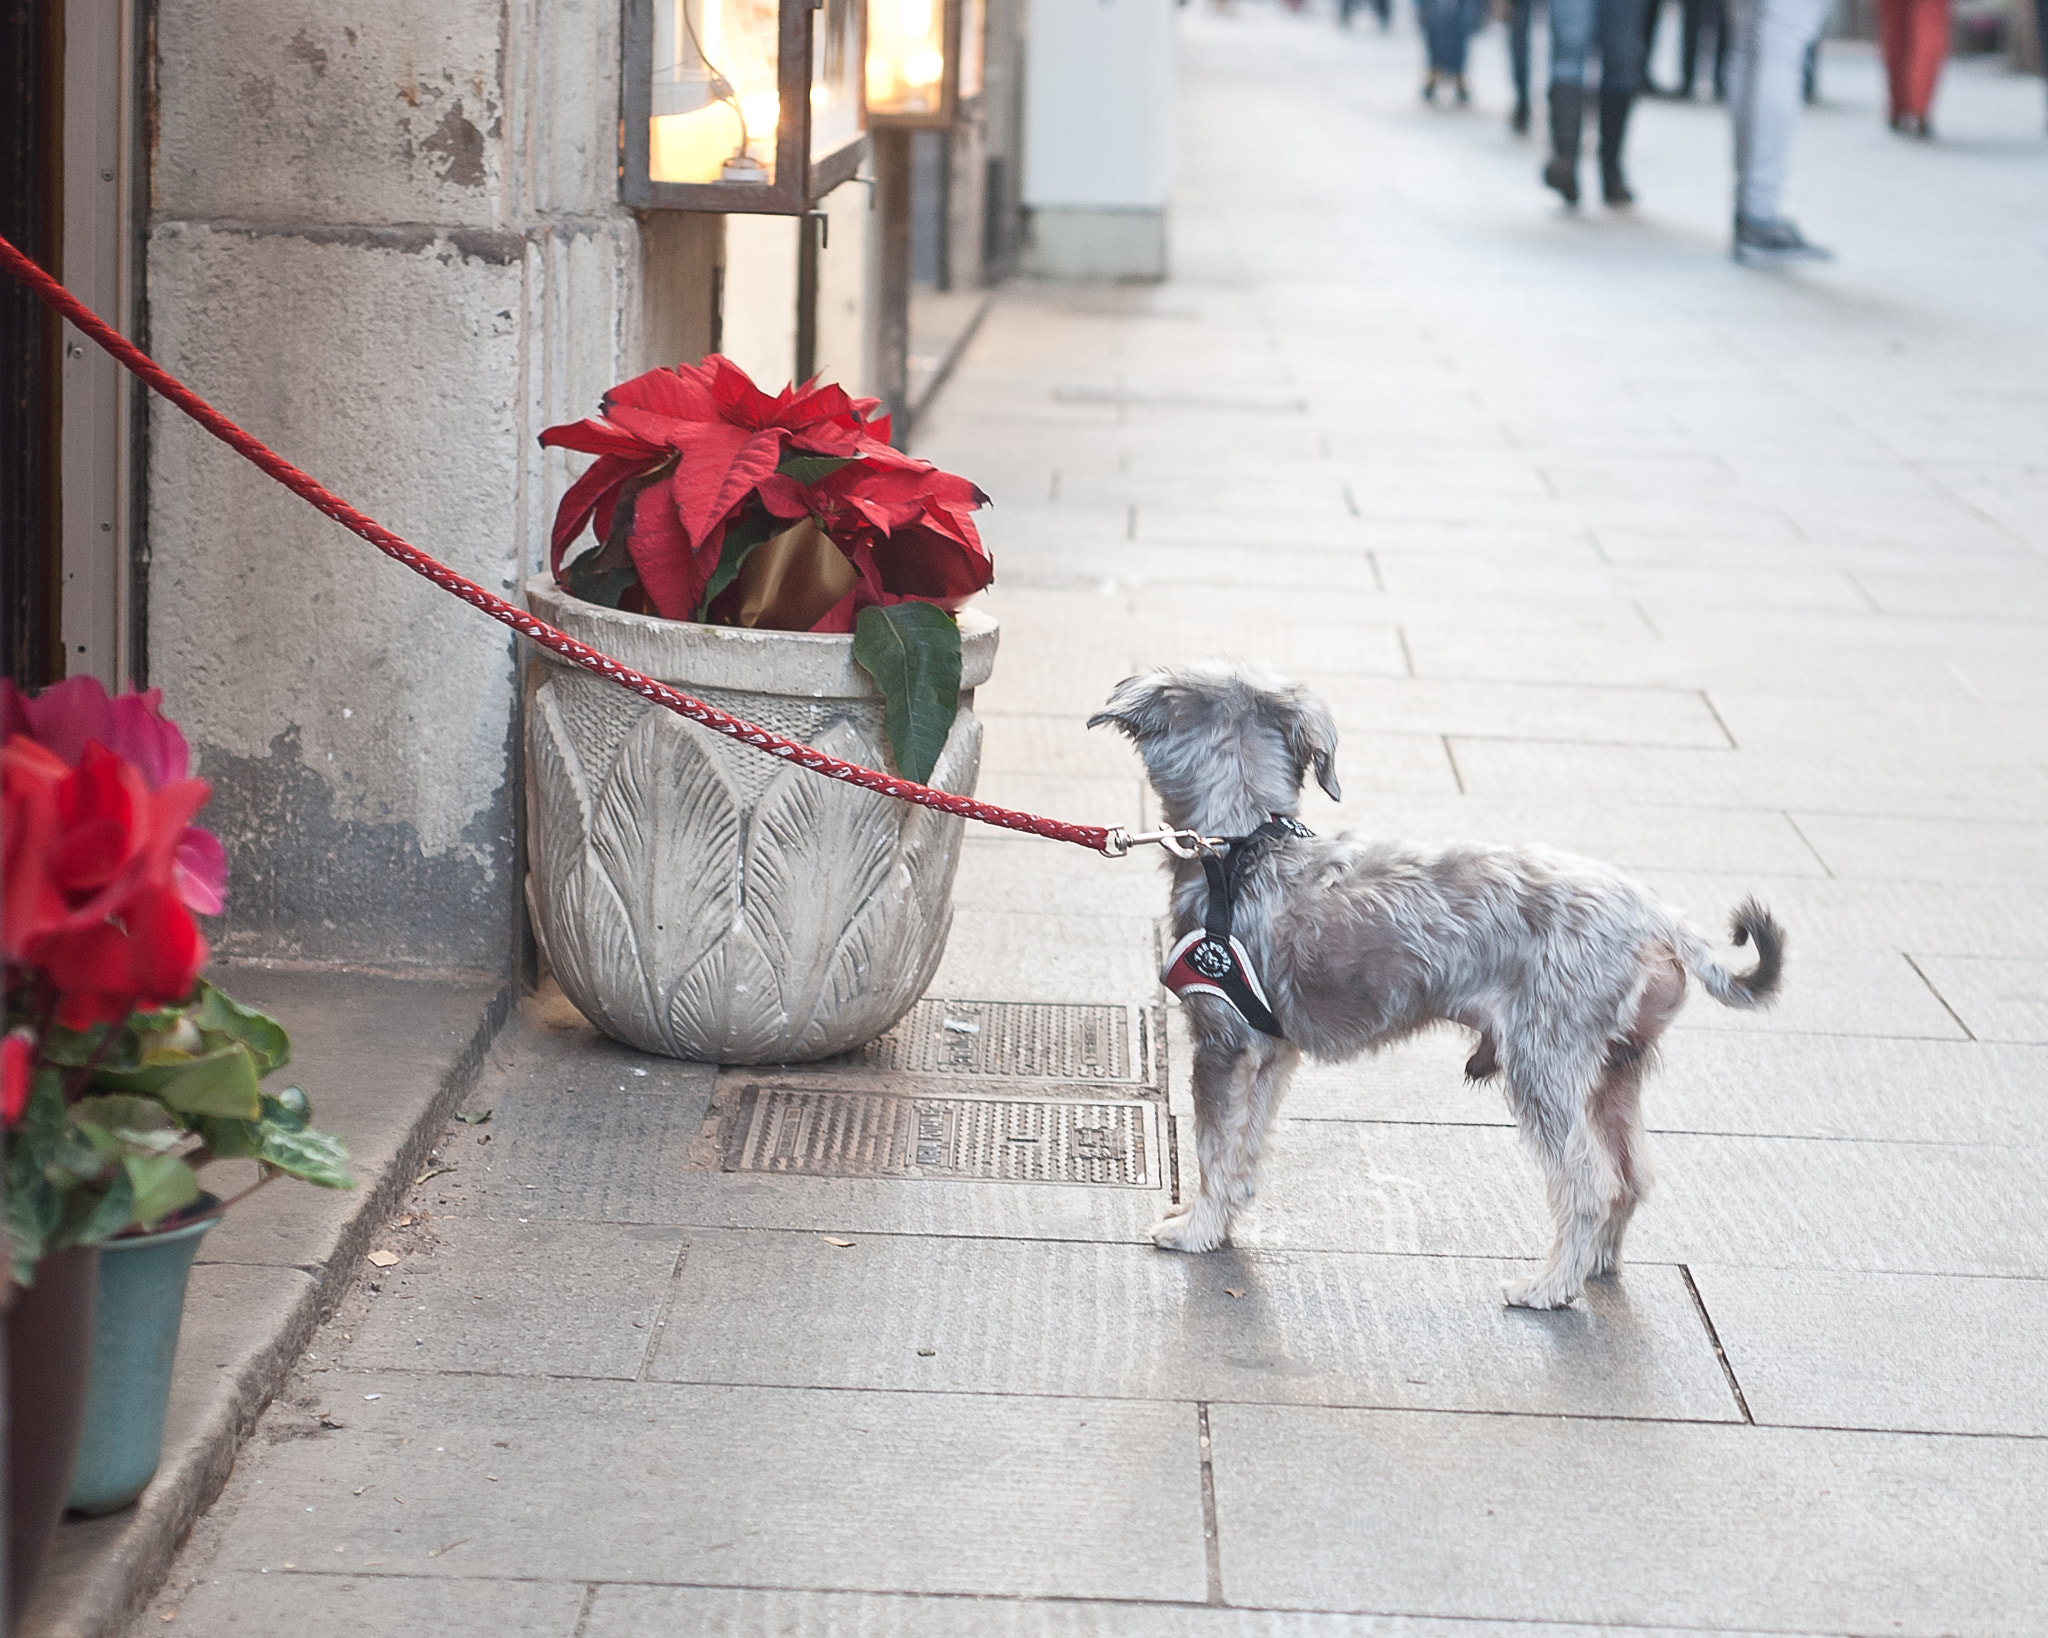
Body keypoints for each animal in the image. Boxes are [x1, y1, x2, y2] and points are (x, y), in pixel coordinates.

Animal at [1097, 659, 1785, 1310]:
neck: (1238, 853)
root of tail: (1661, 919)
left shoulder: (1222, 1044)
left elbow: (1214, 1146)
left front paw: (1195, 1229)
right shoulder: (1268, 1053)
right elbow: (1243, 1147)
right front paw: (1220, 1221)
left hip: (1543, 1063)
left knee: (1590, 1184)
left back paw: (1549, 1287)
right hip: (1615, 1070)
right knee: (1631, 1174)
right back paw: (1592, 1265)